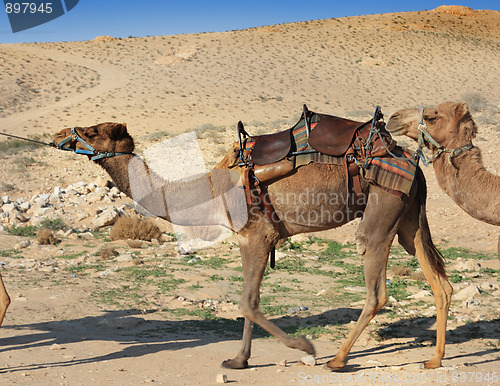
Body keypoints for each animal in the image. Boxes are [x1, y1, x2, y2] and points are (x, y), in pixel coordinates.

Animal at [0, 121, 450, 370]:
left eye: (92, 131)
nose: (60, 134)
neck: (210, 190)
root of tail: (410, 161)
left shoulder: (258, 234)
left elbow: (246, 302)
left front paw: (303, 346)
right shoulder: (250, 239)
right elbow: (250, 301)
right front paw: (238, 360)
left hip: (381, 210)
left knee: (377, 289)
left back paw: (338, 360)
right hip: (409, 218)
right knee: (438, 281)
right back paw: (433, 358)